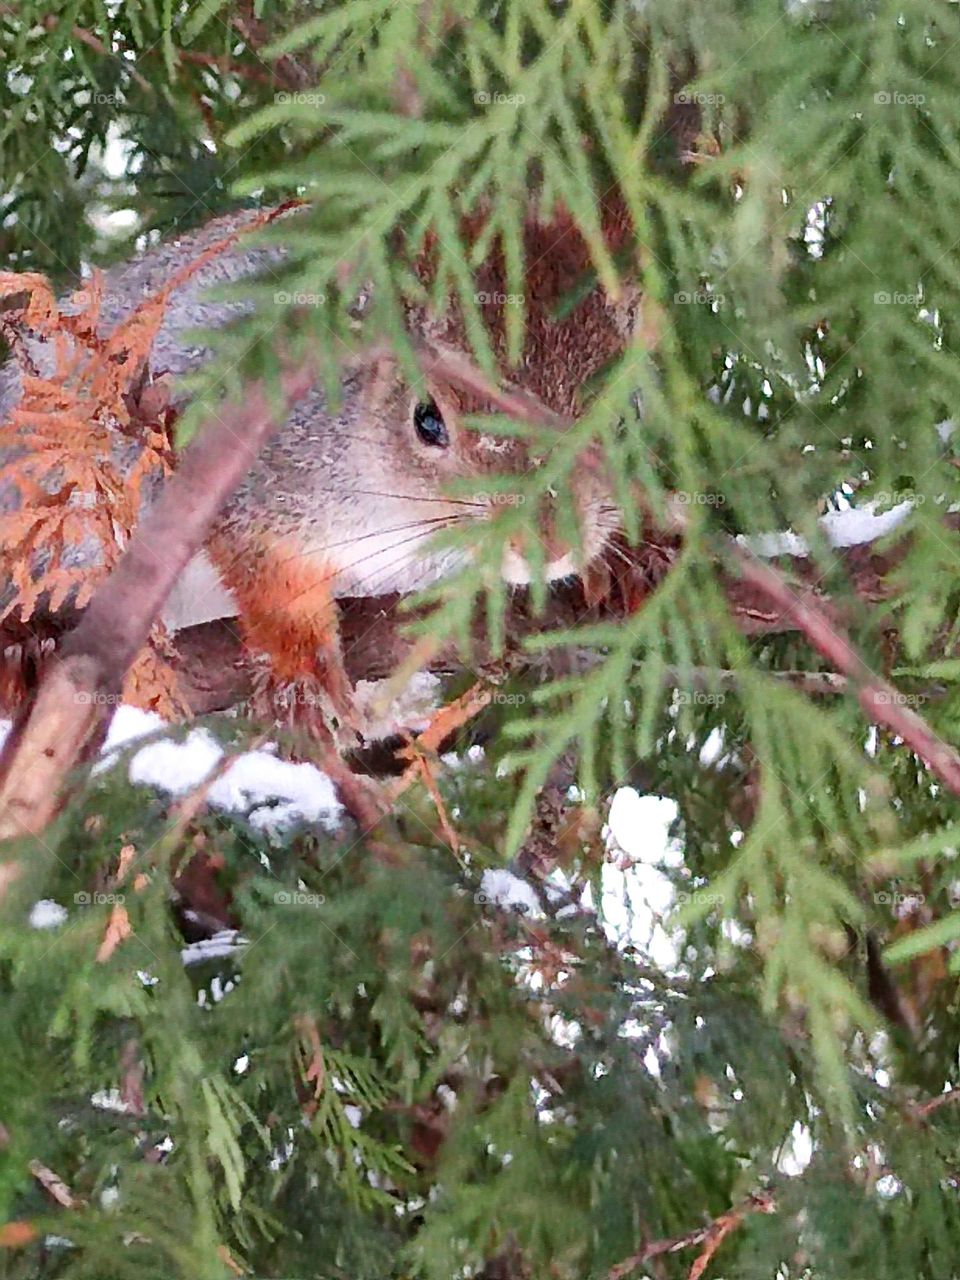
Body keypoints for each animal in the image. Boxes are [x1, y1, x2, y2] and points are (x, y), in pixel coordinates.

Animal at [3, 198, 642, 737]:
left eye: (620, 417)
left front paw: (614, 568)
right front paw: (307, 663)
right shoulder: (252, 481)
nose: (553, 544)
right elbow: (273, 582)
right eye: (427, 421)